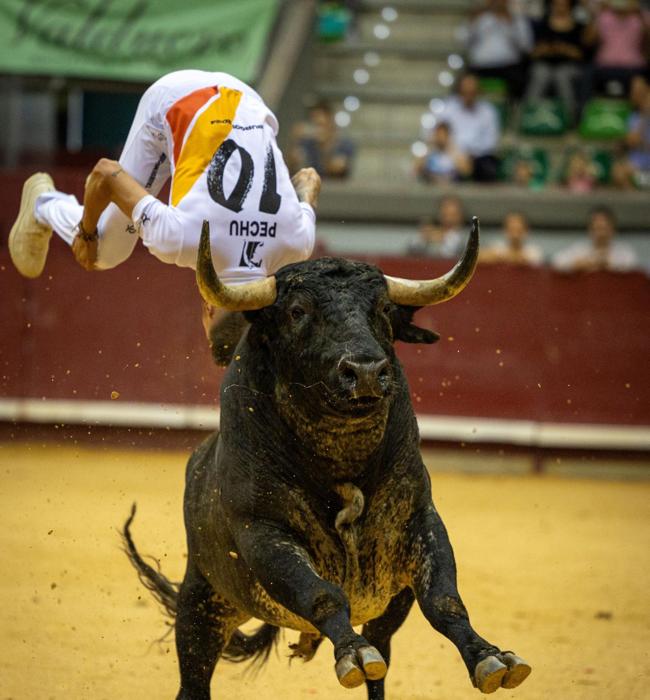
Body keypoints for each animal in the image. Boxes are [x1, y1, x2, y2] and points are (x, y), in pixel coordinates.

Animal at [121, 220, 528, 700]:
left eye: (384, 308)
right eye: (298, 311)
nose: (366, 372)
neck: (342, 454)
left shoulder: (419, 519)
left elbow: (444, 599)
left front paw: (490, 657)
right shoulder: (263, 532)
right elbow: (322, 594)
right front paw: (351, 653)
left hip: (385, 613)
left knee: (381, 662)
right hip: (201, 604)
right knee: (194, 681)